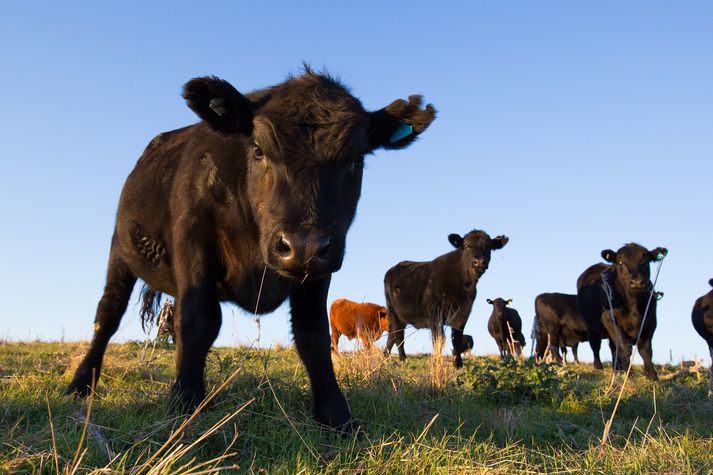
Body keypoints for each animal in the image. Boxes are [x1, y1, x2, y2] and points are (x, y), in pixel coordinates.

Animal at [65, 69, 434, 434]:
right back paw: (81, 385)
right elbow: (198, 320)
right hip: (119, 251)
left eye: (357, 159)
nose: (302, 245)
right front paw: (184, 404)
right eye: (258, 150)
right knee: (108, 315)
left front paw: (336, 416)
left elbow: (312, 335)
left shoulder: (320, 266)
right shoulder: (194, 238)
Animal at [384, 231, 506, 368]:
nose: (479, 262)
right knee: (398, 334)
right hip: (393, 311)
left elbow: (457, 339)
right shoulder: (435, 314)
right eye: (466, 246)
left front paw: (458, 364)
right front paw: (436, 361)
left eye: (488, 247)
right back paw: (402, 359)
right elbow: (439, 340)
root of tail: (393, 269)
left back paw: (386, 356)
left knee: (392, 334)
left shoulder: (463, 313)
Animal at [576, 244, 664, 382]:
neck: (634, 304)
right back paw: (599, 368)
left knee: (613, 348)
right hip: (591, 326)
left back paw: (616, 370)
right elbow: (624, 346)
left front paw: (652, 376)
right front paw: (629, 373)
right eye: (621, 262)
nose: (637, 282)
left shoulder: (650, 321)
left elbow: (645, 349)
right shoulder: (609, 319)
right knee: (596, 346)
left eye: (645, 262)